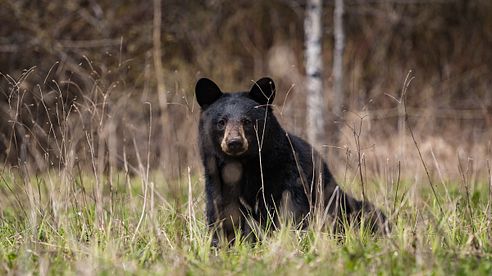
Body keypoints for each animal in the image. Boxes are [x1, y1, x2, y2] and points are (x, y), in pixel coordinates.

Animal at [194, 76, 386, 243]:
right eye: (221, 122)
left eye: (247, 121)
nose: (234, 142)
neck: (245, 165)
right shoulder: (217, 180)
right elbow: (221, 212)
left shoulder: (289, 174)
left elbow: (292, 210)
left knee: (369, 213)